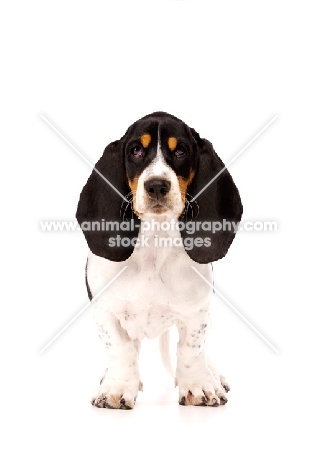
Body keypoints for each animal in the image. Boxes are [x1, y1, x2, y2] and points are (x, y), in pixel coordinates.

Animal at [76, 111, 244, 408]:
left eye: (180, 151)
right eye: (135, 150)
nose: (156, 185)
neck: (155, 242)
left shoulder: (197, 310)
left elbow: (191, 349)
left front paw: (199, 386)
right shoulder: (105, 310)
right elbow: (120, 349)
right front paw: (117, 388)